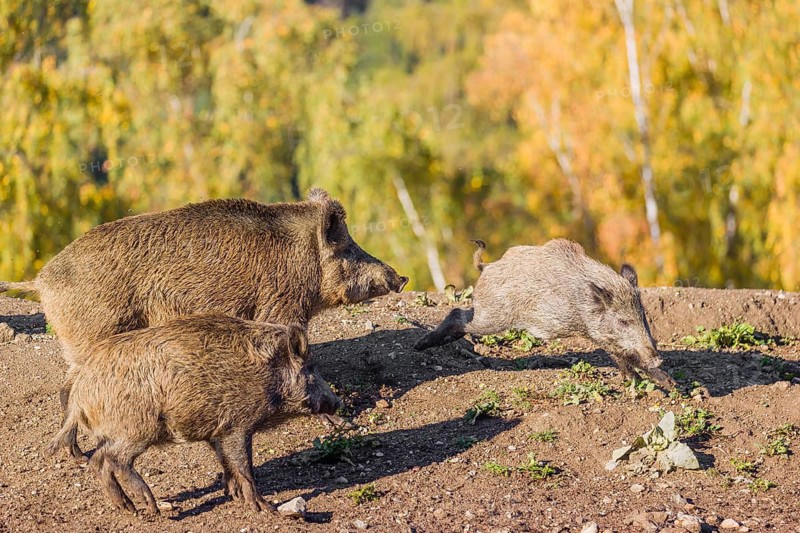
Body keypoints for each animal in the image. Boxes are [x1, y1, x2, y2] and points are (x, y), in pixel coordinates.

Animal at [1, 188, 406, 458]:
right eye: (347, 248)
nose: (401, 278)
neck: (302, 258)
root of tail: (40, 281)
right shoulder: (281, 307)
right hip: (92, 335)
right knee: (70, 389)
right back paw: (73, 453)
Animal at [48, 315, 343, 514]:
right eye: (311, 369)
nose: (337, 402)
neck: (269, 377)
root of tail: (81, 390)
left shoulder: (218, 432)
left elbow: (227, 464)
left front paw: (234, 496)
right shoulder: (238, 425)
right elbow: (244, 466)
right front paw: (264, 509)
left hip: (117, 432)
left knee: (98, 461)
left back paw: (128, 509)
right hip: (137, 430)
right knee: (114, 460)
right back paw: (152, 507)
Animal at [414, 239, 675, 387]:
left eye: (643, 316)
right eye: (623, 321)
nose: (658, 357)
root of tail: (487, 267)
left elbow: (624, 357)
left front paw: (666, 385)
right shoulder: (596, 332)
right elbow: (625, 356)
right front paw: (649, 383)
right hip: (493, 316)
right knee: (458, 314)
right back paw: (419, 345)